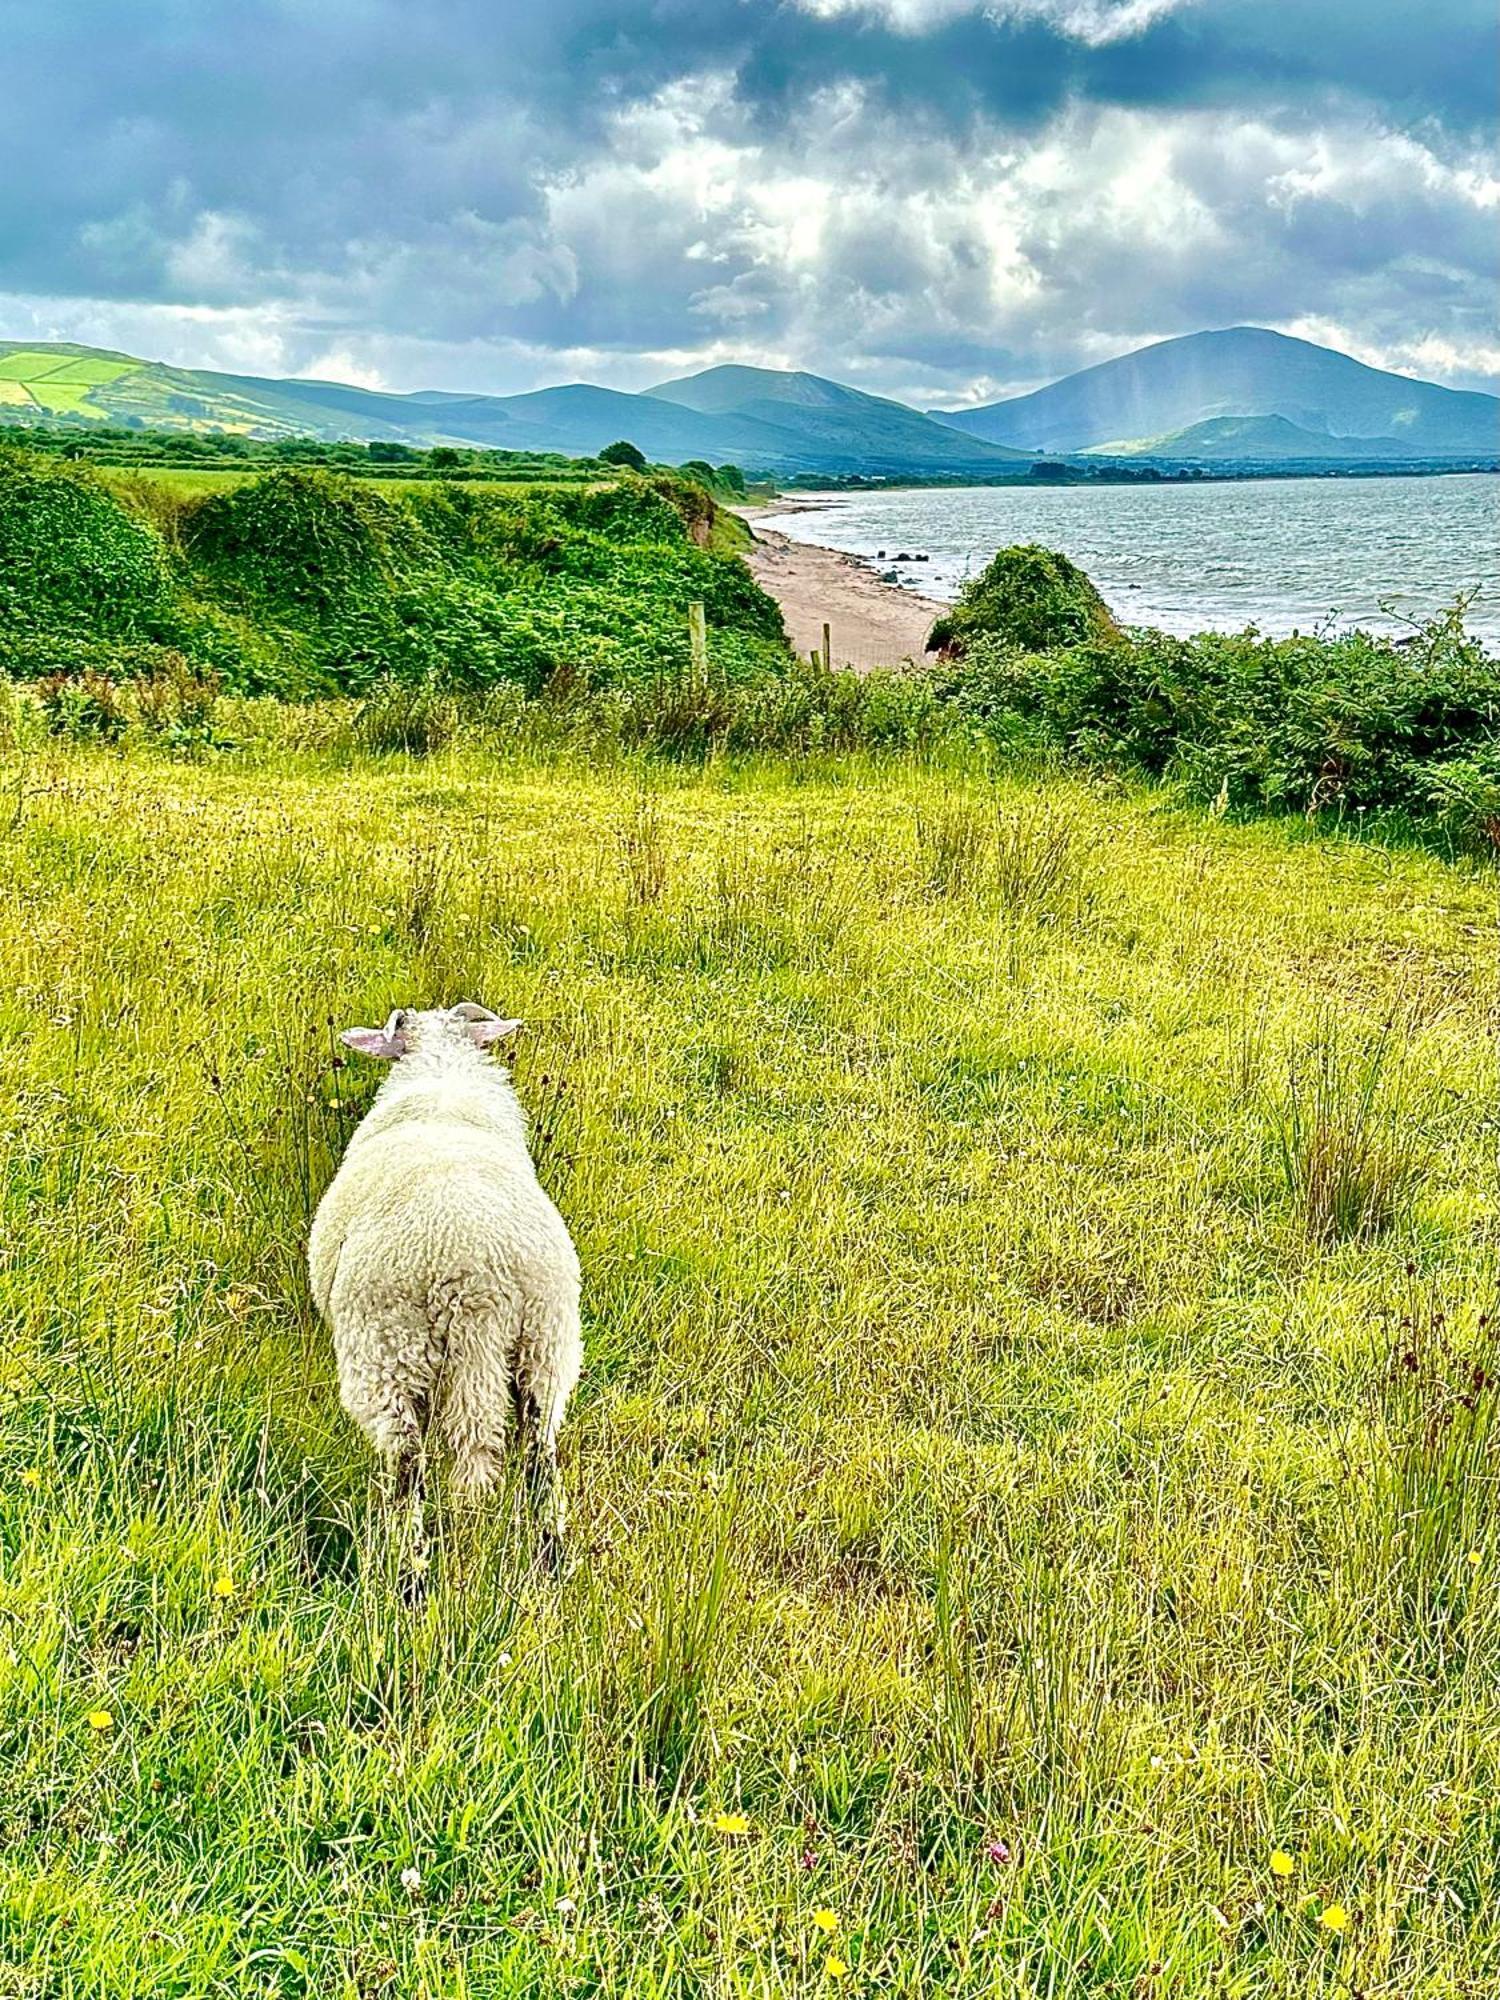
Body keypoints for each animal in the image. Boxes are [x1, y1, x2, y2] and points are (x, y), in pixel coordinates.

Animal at [310, 1008, 580, 1584]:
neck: (441, 1075)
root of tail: (478, 1281)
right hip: (547, 1347)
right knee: (541, 1457)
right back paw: (551, 1559)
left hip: (387, 1353)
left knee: (407, 1467)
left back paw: (411, 1574)